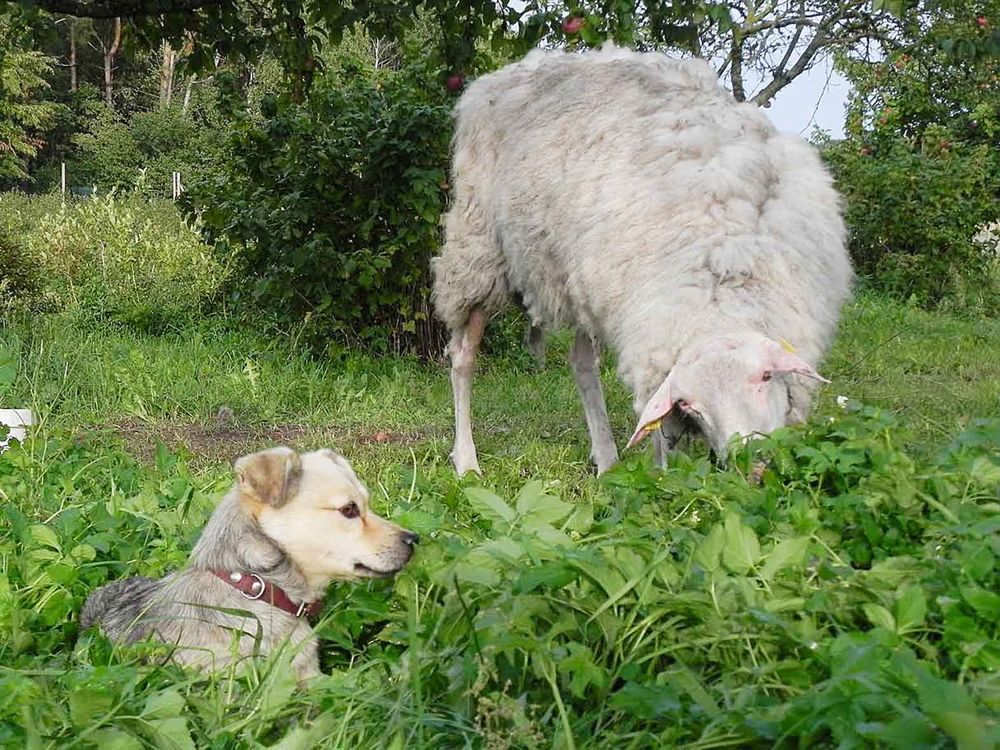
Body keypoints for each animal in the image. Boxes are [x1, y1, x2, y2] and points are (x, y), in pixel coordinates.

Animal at [432, 45, 852, 475]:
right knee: (463, 357)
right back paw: (466, 460)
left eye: (766, 376)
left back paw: (606, 458)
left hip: (580, 273)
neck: (720, 274)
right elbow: (662, 439)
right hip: (478, 248)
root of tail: (510, 71)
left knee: (582, 362)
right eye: (691, 405)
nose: (746, 460)